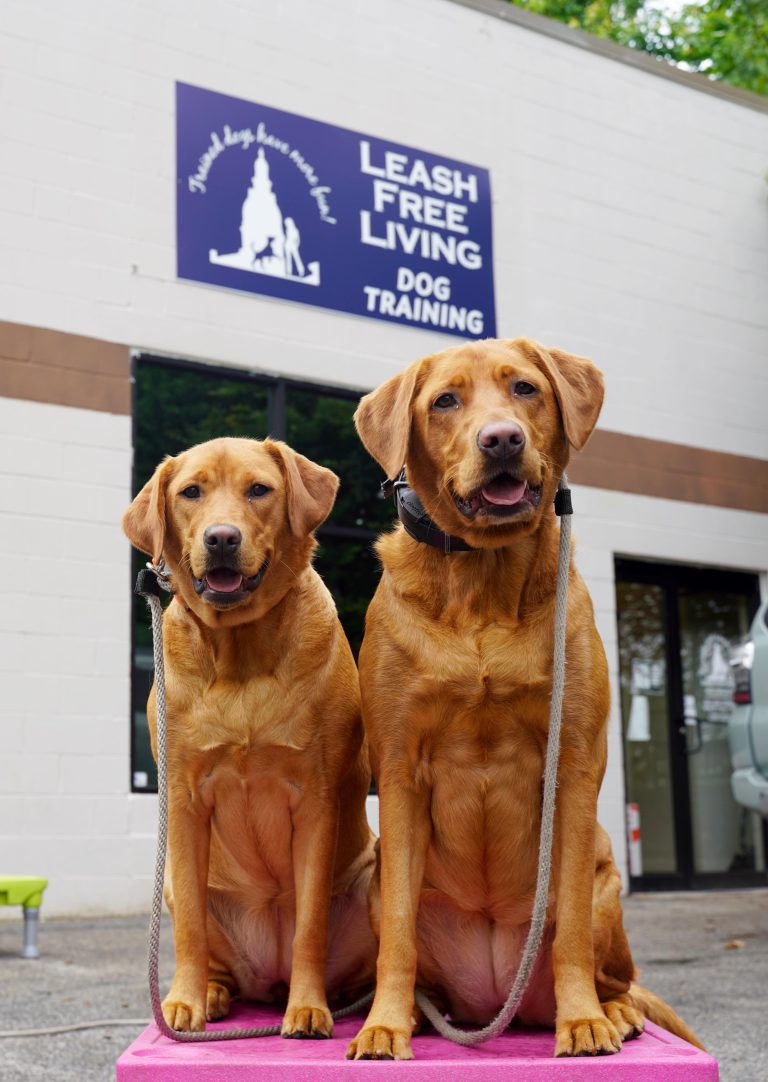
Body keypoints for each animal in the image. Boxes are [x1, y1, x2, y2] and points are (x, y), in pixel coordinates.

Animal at [121, 437, 378, 1038]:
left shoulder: (316, 801)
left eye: (259, 489)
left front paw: (308, 1008)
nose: (221, 538)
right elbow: (190, 927)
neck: (239, 652)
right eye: (191, 492)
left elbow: (311, 924)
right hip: (180, 888)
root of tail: (269, 979)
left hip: (372, 878)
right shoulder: (185, 802)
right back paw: (213, 993)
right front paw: (185, 1001)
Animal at [348, 335, 705, 1056]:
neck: (483, 576)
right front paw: (383, 1025)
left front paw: (583, 1021)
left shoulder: (572, 765)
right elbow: (396, 932)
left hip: (606, 881)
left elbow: (566, 932)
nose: (502, 439)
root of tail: (493, 1001)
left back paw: (611, 1012)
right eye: (445, 401)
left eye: (525, 389)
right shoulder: (397, 771)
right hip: (375, 874)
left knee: (620, 978)